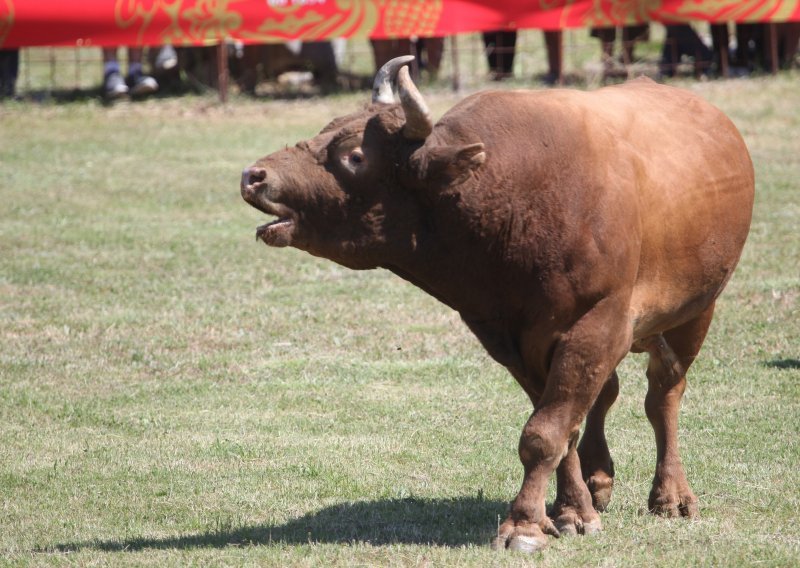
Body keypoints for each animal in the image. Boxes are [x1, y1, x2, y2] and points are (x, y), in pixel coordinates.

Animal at [241, 56, 752, 552]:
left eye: (354, 155)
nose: (254, 176)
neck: (512, 195)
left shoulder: (599, 323)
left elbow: (544, 433)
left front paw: (524, 525)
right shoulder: (514, 342)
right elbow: (561, 430)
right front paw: (572, 512)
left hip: (695, 310)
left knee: (663, 394)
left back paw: (672, 495)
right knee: (605, 394)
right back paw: (597, 480)